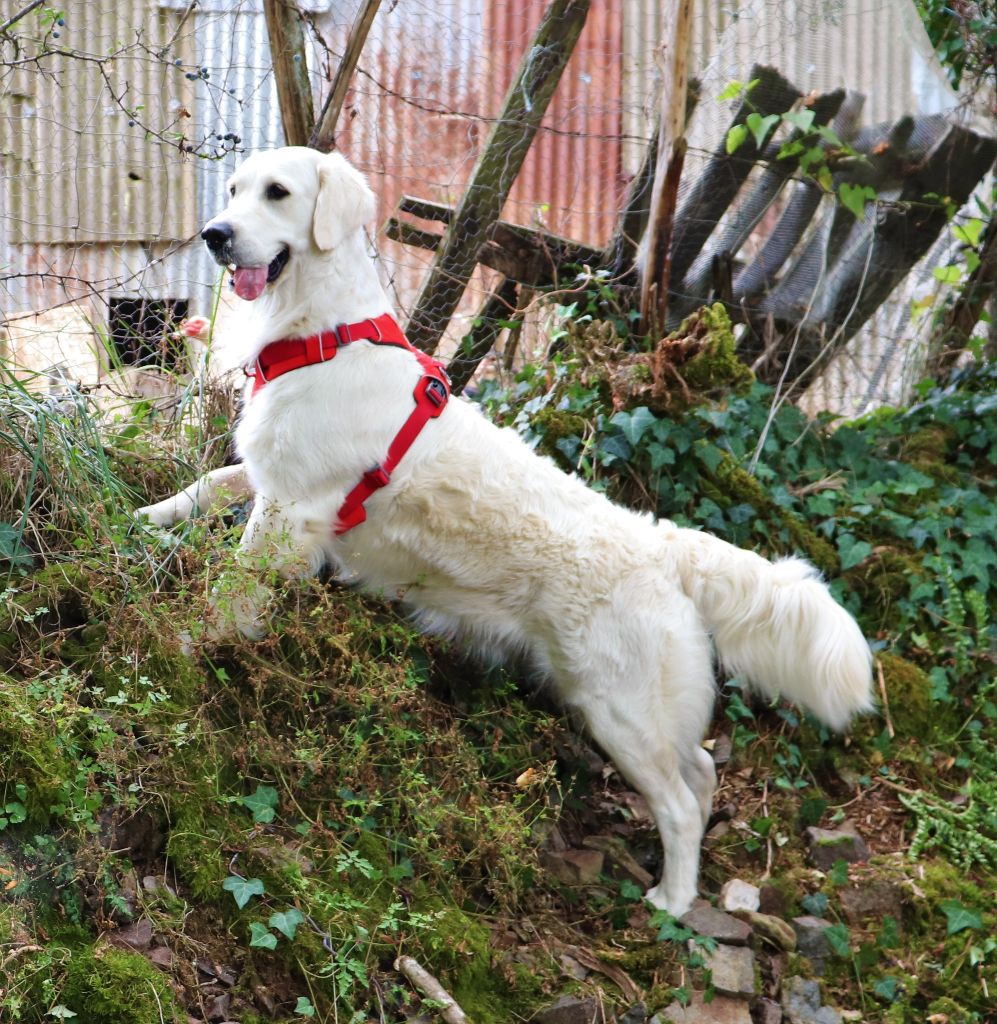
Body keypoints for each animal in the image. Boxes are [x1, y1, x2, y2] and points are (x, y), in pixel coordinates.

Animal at [139, 146, 873, 917]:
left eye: (278, 193)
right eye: (233, 190)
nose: (215, 234)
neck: (323, 335)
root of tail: (659, 543)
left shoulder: (294, 508)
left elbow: (229, 592)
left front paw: (180, 643)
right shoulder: (270, 478)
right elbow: (207, 484)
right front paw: (147, 518)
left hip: (620, 711)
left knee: (677, 802)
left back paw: (671, 900)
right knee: (700, 774)